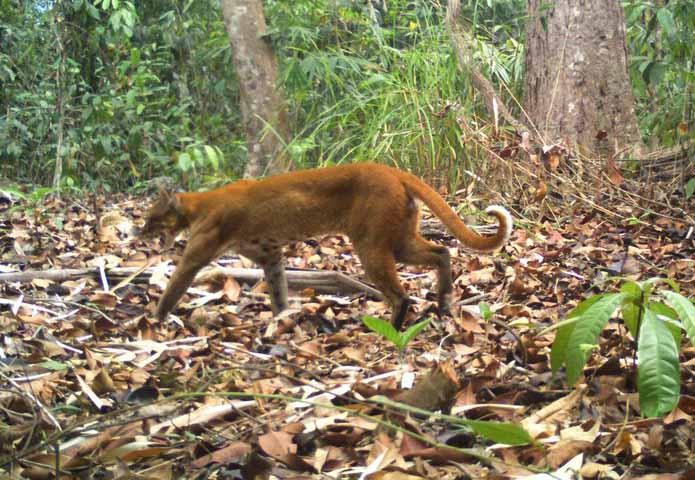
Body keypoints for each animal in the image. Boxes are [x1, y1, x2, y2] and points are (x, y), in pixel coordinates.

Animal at [141, 163, 512, 328]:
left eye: (151, 217)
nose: (140, 231)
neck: (197, 205)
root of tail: (390, 169)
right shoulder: (269, 253)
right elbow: (277, 286)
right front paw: (281, 318)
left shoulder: (197, 253)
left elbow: (174, 285)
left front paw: (153, 321)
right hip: (399, 241)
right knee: (442, 252)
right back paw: (444, 302)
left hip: (371, 244)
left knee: (401, 294)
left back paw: (389, 330)